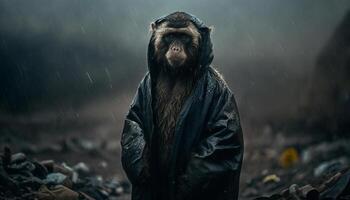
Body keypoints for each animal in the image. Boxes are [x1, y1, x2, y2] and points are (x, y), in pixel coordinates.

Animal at [120, 12, 243, 200]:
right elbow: (135, 119)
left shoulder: (219, 89)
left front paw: (185, 185)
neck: (177, 73)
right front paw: (141, 168)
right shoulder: (145, 83)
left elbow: (223, 133)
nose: (176, 48)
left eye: (183, 37)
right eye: (171, 36)